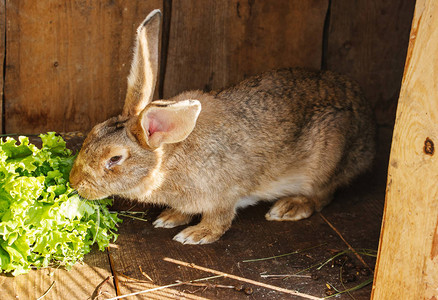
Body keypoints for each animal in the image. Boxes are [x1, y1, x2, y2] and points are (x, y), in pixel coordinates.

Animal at [69, 9, 376, 244]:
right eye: (92, 133)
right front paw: (170, 218)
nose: (74, 182)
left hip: (327, 159)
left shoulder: (224, 194)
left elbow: (219, 219)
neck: (168, 159)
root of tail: (369, 126)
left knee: (323, 195)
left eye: (114, 159)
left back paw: (289, 208)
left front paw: (195, 235)